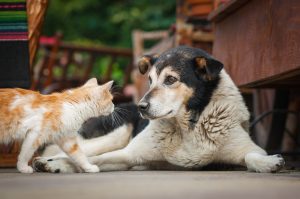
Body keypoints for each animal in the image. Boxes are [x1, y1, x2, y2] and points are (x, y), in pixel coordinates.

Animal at [33, 45, 286, 173]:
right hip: (116, 135)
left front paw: (268, 163)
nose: (142, 107)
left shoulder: (249, 148)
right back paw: (47, 161)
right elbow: (92, 160)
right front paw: (56, 164)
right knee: (66, 150)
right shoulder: (128, 154)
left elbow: (252, 155)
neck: (188, 127)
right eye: (150, 80)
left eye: (171, 79)